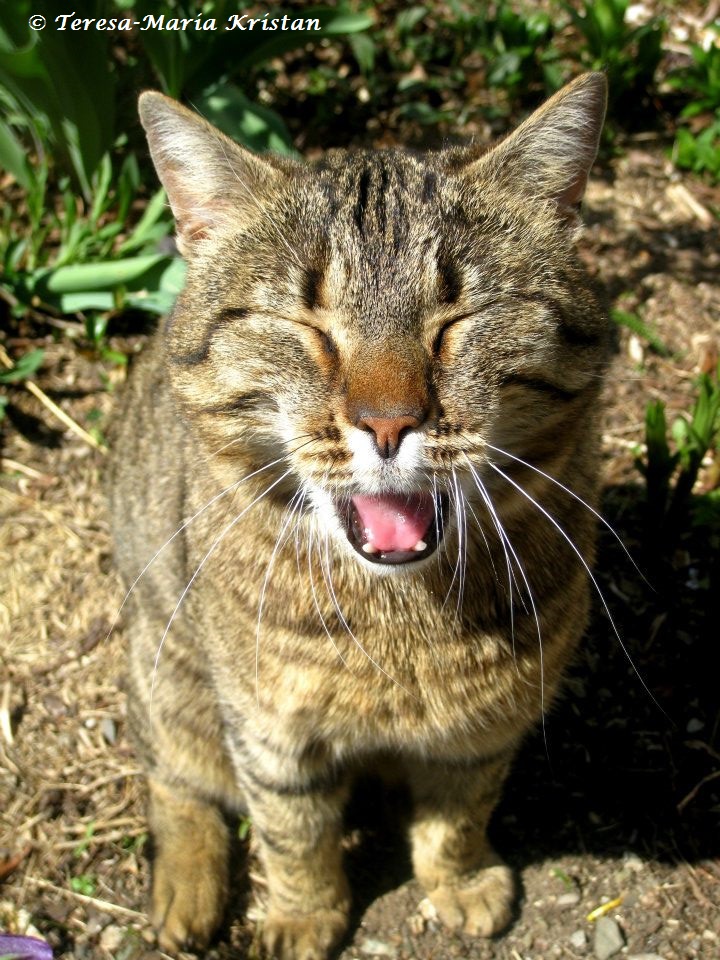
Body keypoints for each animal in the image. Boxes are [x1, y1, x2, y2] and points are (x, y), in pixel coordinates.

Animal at [109, 75, 612, 960]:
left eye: (458, 319)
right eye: (306, 325)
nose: (387, 423)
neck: (400, 623)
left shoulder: (488, 724)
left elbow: (460, 812)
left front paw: (458, 881)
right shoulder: (268, 730)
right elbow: (291, 830)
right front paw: (302, 915)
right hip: (167, 673)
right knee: (175, 782)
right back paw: (186, 890)